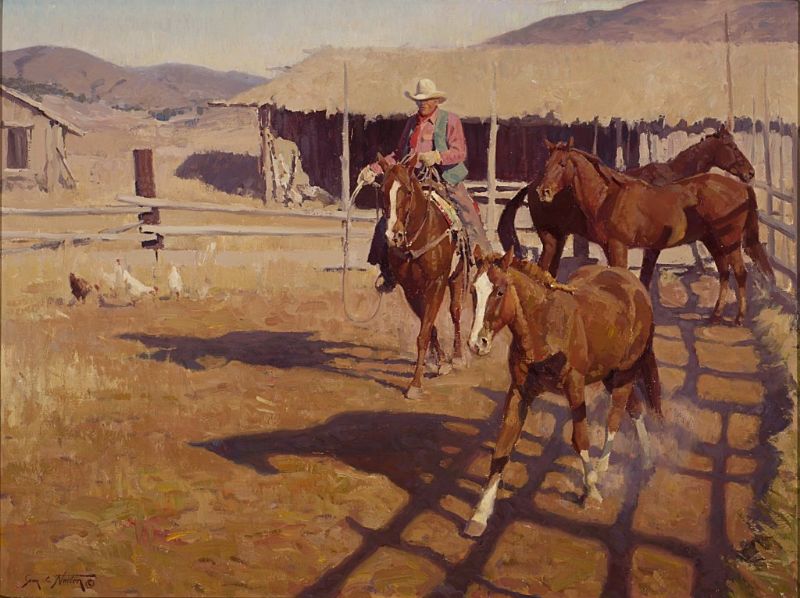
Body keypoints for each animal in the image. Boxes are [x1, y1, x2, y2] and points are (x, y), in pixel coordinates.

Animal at [378, 154, 467, 399]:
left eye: (408, 191)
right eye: (382, 190)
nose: (393, 236)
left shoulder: (437, 283)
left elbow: (424, 334)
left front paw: (415, 384)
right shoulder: (410, 289)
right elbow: (428, 327)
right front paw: (440, 362)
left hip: (456, 276)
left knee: (456, 311)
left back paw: (458, 357)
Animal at [463, 248, 661, 537]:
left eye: (499, 291)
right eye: (473, 291)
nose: (477, 343)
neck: (544, 327)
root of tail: (635, 286)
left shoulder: (575, 388)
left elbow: (580, 439)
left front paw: (590, 492)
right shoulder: (519, 392)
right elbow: (503, 446)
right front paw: (479, 515)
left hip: (624, 374)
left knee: (615, 415)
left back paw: (602, 471)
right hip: (609, 374)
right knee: (634, 407)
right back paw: (645, 458)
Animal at [535, 140, 774, 325]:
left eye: (562, 163)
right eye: (546, 164)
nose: (543, 191)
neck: (609, 197)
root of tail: (742, 188)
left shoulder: (620, 246)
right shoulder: (614, 247)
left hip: (728, 240)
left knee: (739, 272)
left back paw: (738, 318)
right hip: (713, 240)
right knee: (725, 272)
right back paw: (715, 315)